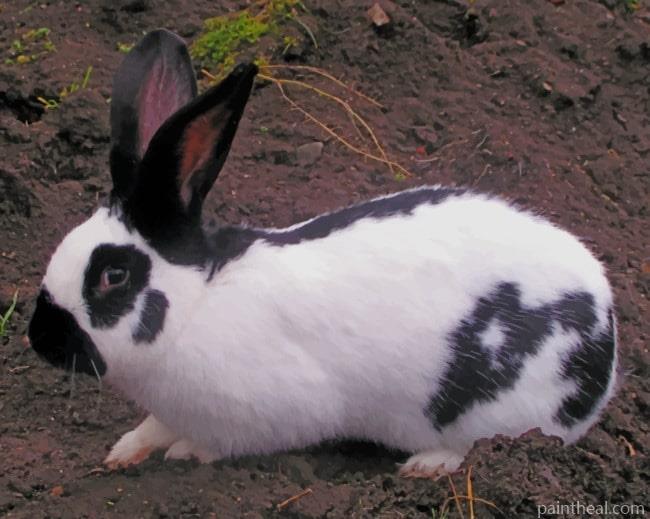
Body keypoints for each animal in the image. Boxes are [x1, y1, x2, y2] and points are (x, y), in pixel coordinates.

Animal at [28, 29, 618, 478]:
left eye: (113, 276)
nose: (39, 339)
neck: (196, 303)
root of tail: (607, 336)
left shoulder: (267, 412)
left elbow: (217, 442)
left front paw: (185, 452)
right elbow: (152, 427)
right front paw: (123, 452)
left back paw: (426, 465)